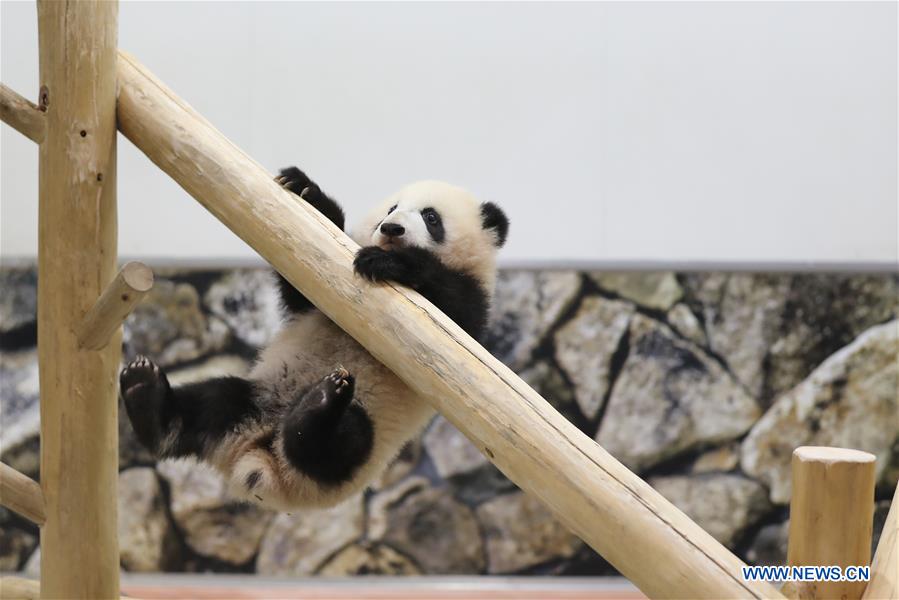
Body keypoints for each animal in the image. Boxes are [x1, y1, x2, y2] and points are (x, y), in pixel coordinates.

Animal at [120, 166, 509, 510]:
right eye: (391, 208)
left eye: (431, 217)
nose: (391, 228)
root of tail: (263, 462)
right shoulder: (324, 296)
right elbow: (305, 289)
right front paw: (308, 191)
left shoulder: (464, 319)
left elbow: (455, 313)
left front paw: (387, 261)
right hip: (256, 398)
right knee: (213, 402)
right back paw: (147, 397)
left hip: (356, 460)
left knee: (339, 443)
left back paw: (317, 407)